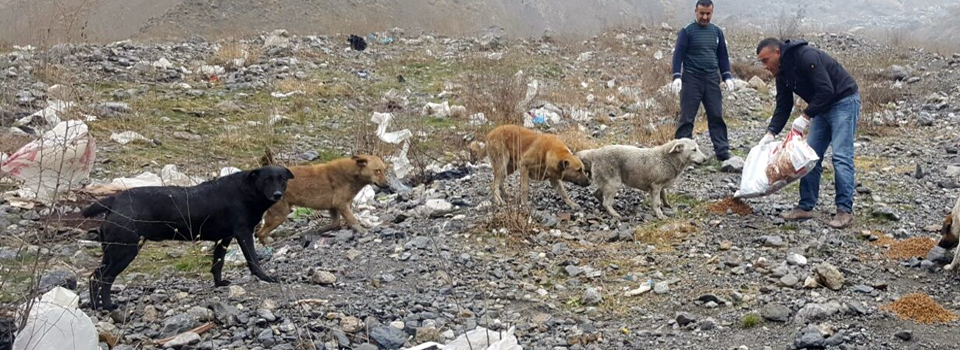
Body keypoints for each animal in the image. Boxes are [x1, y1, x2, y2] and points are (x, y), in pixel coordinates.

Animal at [81, 165, 294, 310]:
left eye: (282, 179)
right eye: (267, 180)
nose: (277, 194)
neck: (246, 191)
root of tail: (115, 199)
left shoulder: (224, 238)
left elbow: (218, 264)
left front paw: (219, 284)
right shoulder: (244, 234)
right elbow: (253, 261)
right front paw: (266, 277)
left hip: (112, 251)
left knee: (94, 276)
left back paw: (95, 306)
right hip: (125, 250)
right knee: (105, 278)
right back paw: (108, 306)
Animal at [256, 154, 392, 245]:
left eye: (384, 170)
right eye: (377, 171)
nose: (388, 185)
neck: (353, 174)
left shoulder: (334, 207)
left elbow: (335, 223)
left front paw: (318, 230)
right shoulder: (341, 205)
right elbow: (353, 220)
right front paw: (363, 231)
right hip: (280, 214)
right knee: (260, 234)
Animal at [572, 139, 708, 219]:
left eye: (698, 148)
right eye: (694, 149)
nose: (706, 159)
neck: (668, 159)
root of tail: (594, 152)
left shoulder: (661, 186)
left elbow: (664, 196)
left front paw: (667, 205)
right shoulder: (655, 186)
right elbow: (657, 203)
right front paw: (660, 215)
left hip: (607, 182)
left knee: (598, 194)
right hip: (614, 183)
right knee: (606, 202)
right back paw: (614, 213)